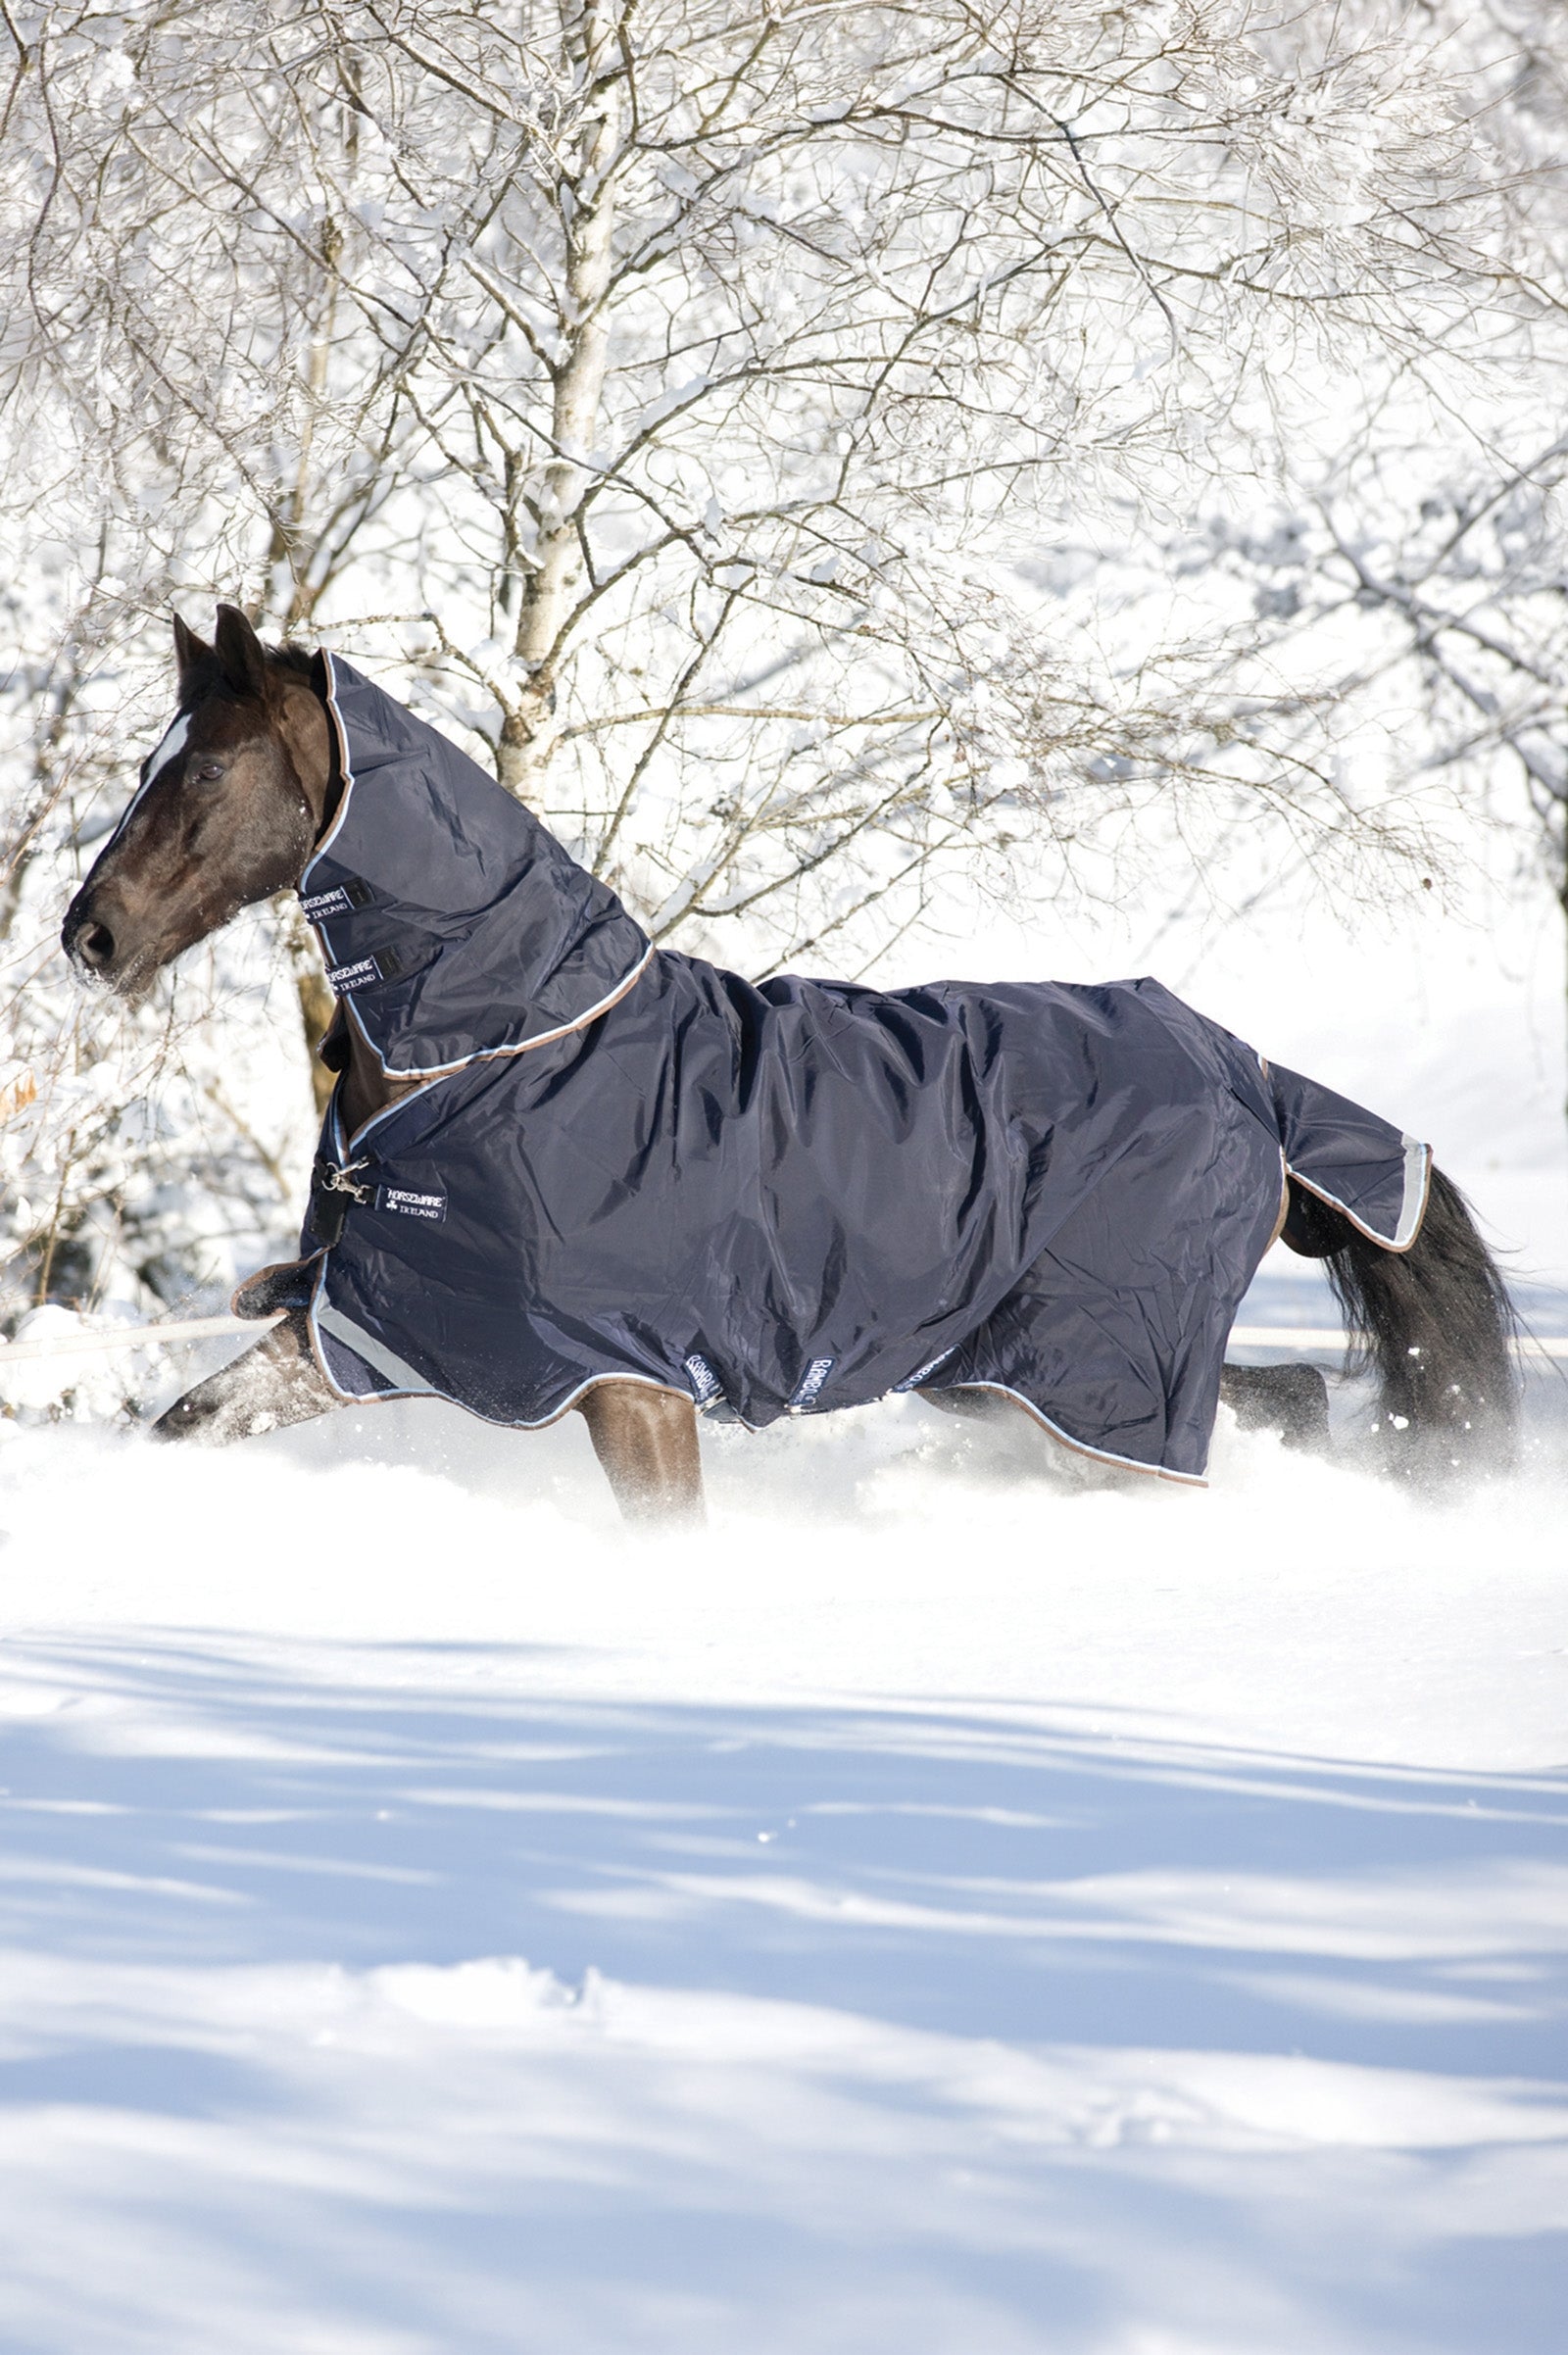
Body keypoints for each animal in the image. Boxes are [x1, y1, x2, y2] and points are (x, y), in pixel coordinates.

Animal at [61, 606, 1517, 1522]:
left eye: (205, 775)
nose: (91, 935)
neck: (498, 1054)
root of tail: (1248, 1077)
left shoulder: (631, 1387)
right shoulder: (361, 1331)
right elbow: (189, 1423)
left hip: (1087, 1377)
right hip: (1016, 1381)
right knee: (1290, 1398)